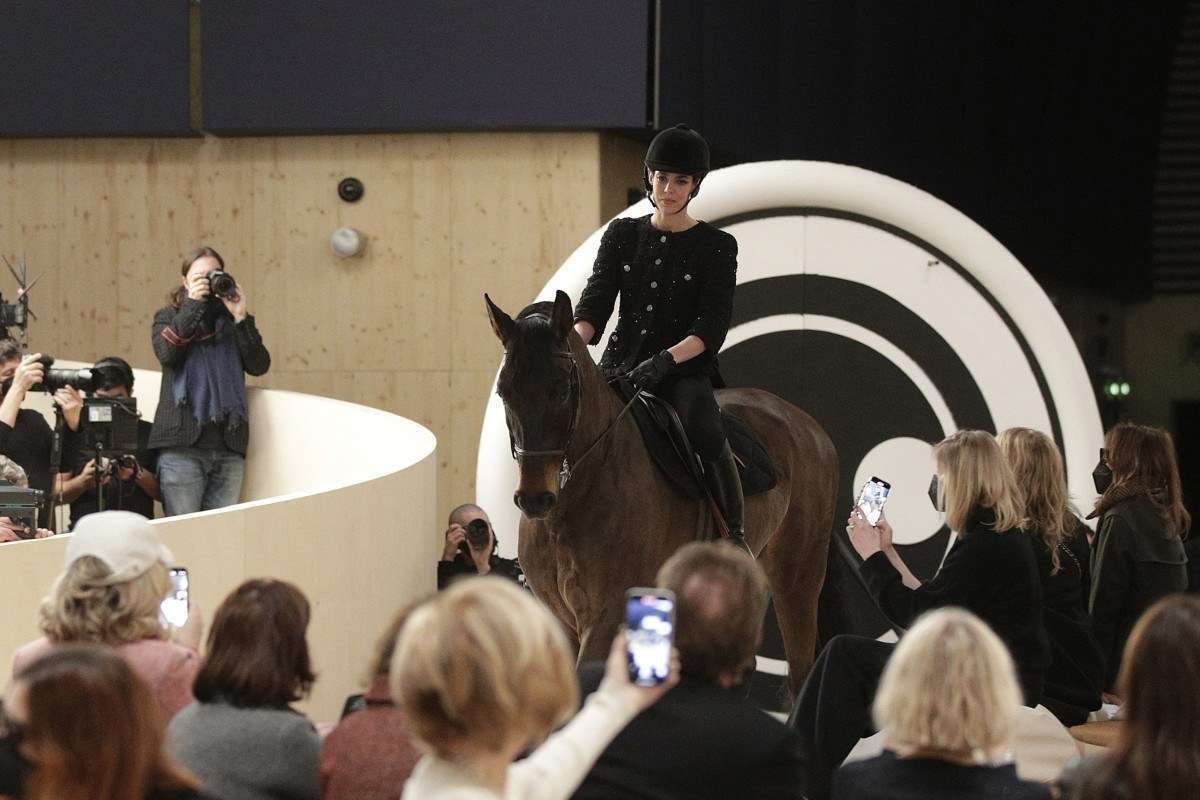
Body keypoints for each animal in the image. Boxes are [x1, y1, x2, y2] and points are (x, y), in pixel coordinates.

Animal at [487, 289, 835, 695]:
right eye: (504, 391)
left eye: (562, 389)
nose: (535, 499)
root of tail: (807, 426)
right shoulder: (556, 619)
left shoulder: (606, 617)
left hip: (798, 579)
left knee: (799, 673)